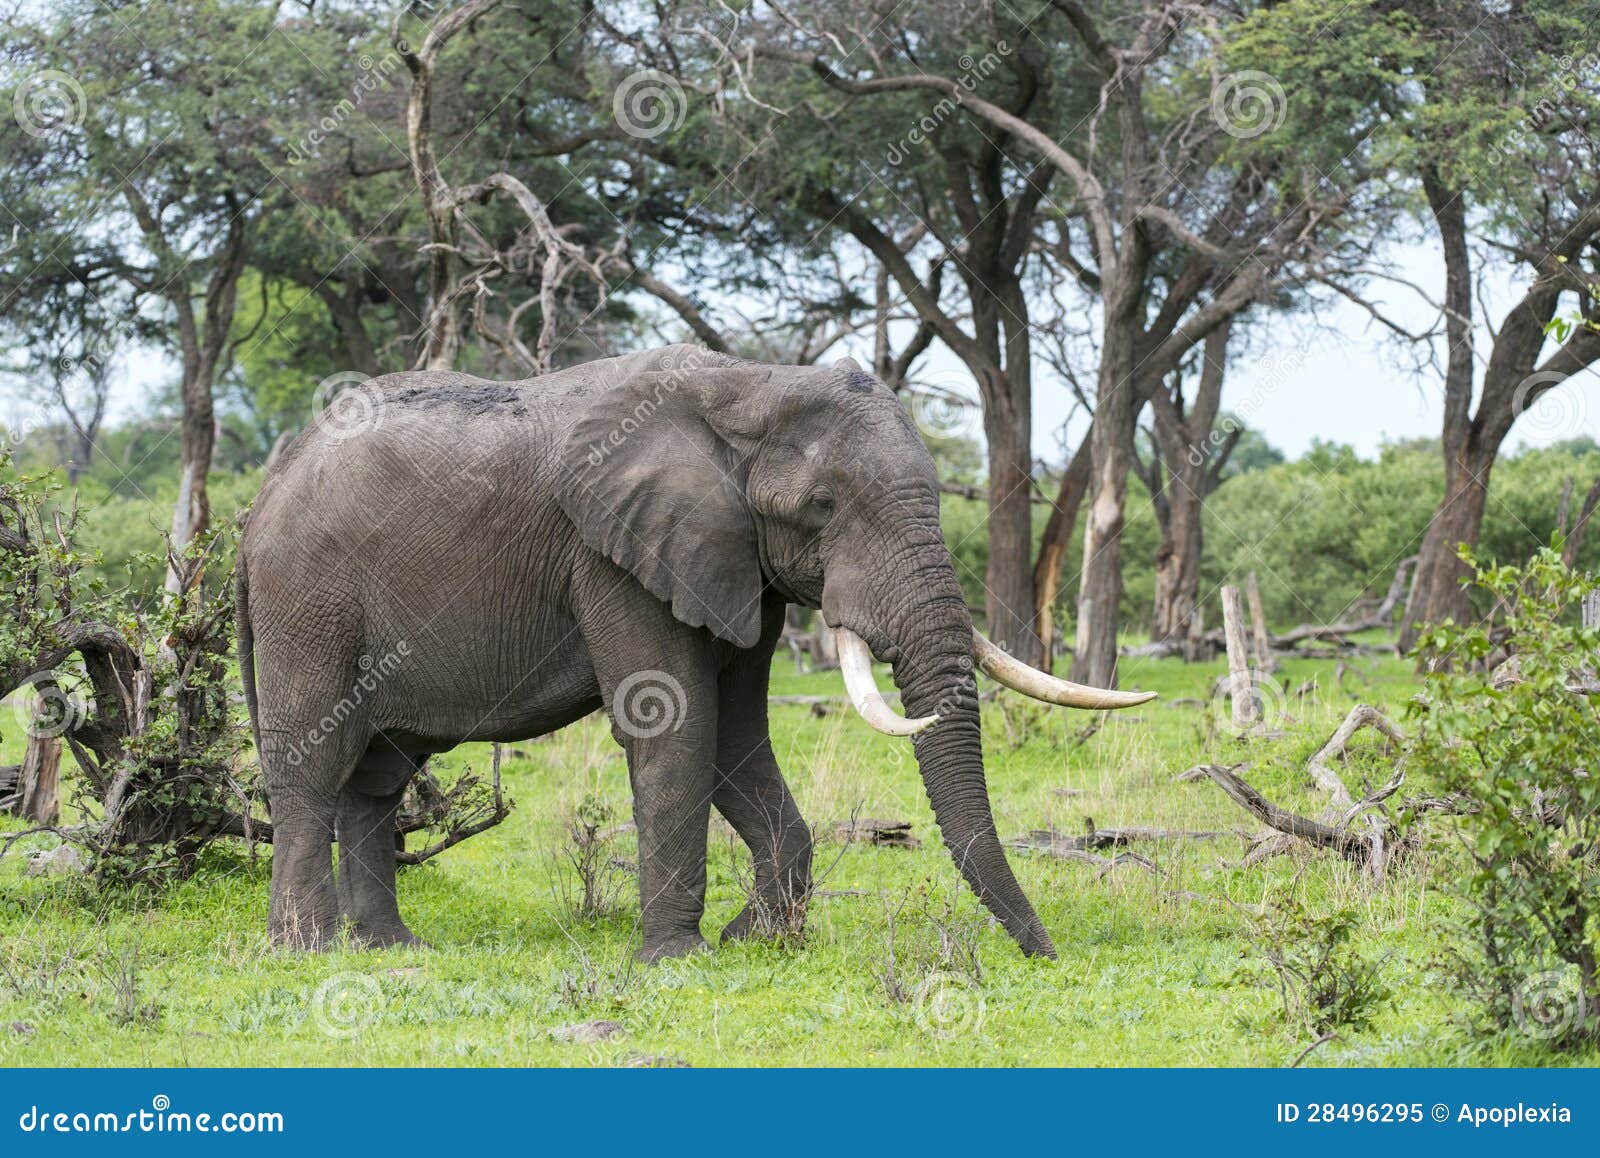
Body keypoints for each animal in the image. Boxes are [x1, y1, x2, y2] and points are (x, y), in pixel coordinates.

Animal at [236, 343, 1158, 959]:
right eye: (823, 507)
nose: (1043, 956)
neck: (749, 384)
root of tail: (264, 490)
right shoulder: (614, 557)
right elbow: (673, 724)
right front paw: (679, 960)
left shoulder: (736, 562)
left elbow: (738, 736)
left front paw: (755, 939)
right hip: (307, 599)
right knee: (316, 761)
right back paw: (307, 950)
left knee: (379, 774)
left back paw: (391, 949)